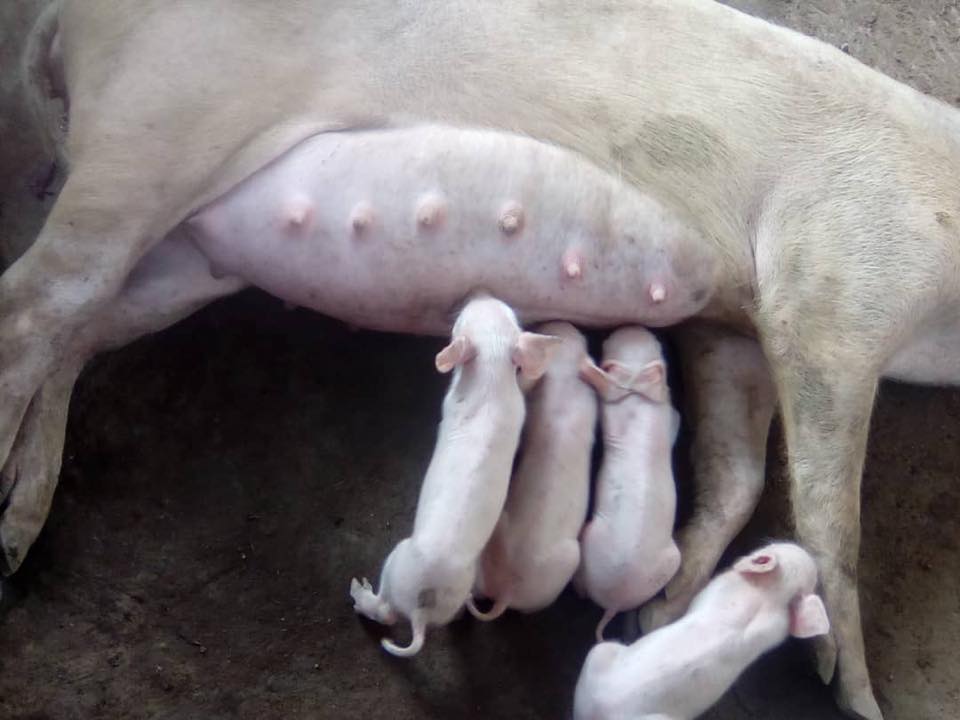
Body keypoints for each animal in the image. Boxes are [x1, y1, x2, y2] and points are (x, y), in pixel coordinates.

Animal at [348, 296, 560, 656]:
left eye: (462, 320)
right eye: (508, 312)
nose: (481, 294)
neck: (491, 373)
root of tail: (422, 608)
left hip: (396, 562)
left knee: (385, 611)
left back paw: (359, 593)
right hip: (455, 594)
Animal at [568, 544, 832, 720]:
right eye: (780, 544)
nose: (803, 548)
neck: (771, 597)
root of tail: (594, 711)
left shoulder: (713, 588)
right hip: (599, 655)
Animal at [576, 326, 684, 640]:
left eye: (607, 344)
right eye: (658, 344)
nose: (632, 326)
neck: (637, 396)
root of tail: (615, 601)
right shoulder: (668, 413)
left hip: (593, 536)